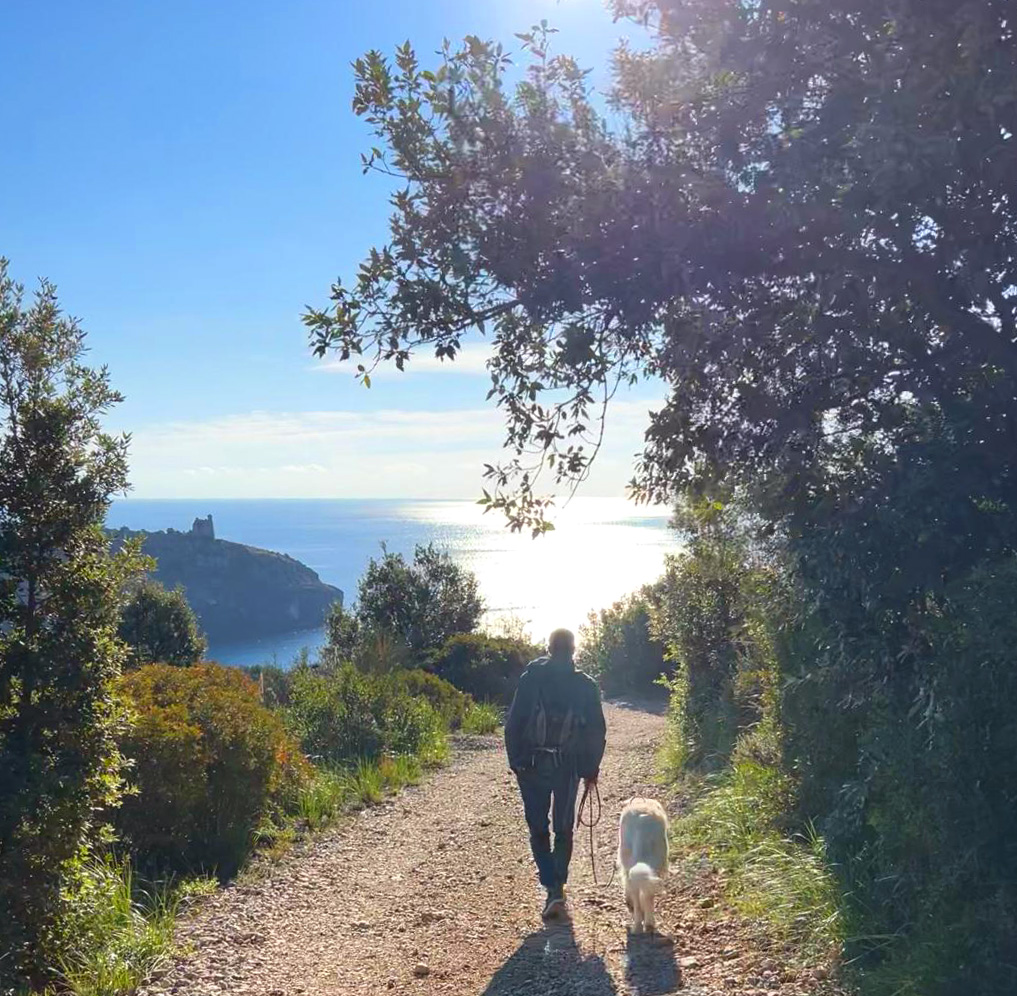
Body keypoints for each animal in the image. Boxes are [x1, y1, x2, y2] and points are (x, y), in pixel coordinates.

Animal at [614, 797, 671, 931]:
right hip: (656, 863)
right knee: (647, 894)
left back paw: (639, 924)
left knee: (638, 894)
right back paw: (648, 923)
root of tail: (642, 819)